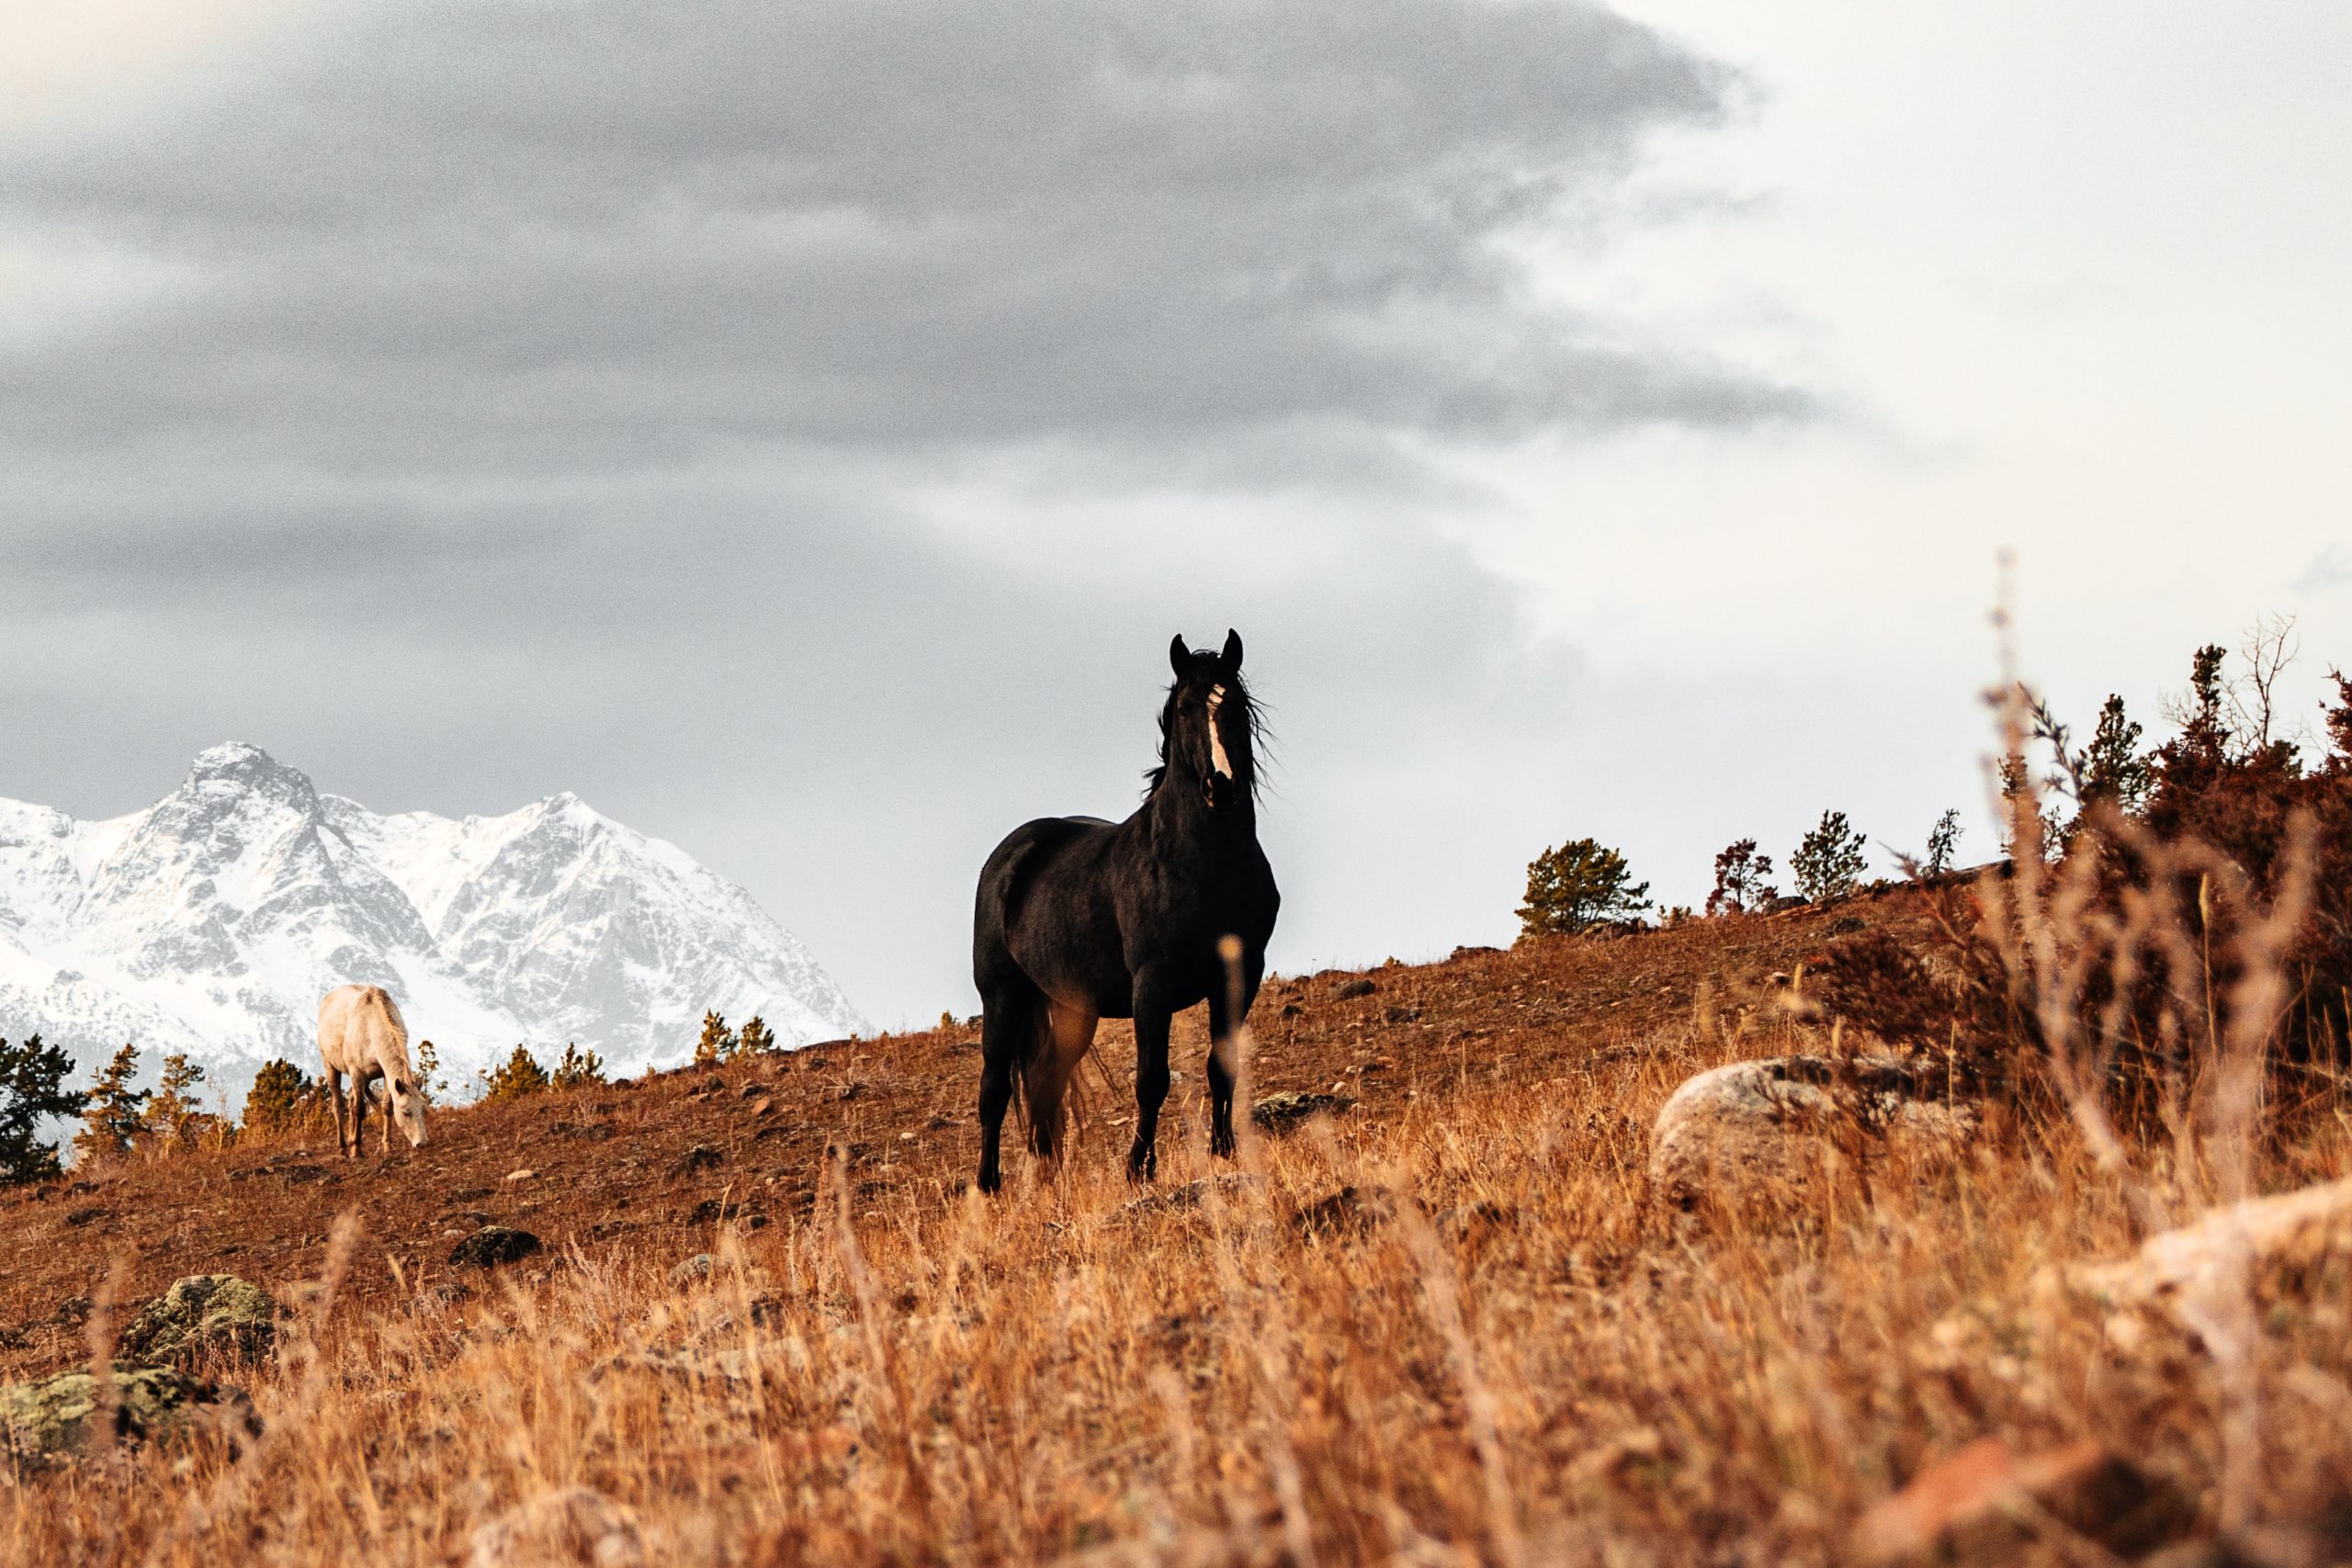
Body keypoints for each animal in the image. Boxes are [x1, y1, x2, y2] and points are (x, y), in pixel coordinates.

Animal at [317, 984, 428, 1157]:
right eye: (406, 1112)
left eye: (424, 1110)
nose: (422, 1144)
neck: (370, 1028)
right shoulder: (356, 1072)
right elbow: (359, 1109)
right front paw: (357, 1150)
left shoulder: (385, 1075)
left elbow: (386, 1107)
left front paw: (387, 1146)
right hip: (330, 1066)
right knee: (338, 1105)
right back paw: (343, 1147)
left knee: (350, 1100)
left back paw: (350, 1139)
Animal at [972, 629, 1279, 1192]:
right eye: (1184, 708)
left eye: (1237, 706)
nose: (1220, 785)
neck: (1203, 866)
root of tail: (1010, 856)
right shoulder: (1151, 983)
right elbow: (1152, 1078)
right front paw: (1139, 1167)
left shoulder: (1242, 971)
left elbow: (1221, 1064)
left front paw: (1225, 1152)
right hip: (1003, 995)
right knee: (994, 1090)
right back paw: (987, 1186)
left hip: (1073, 1008)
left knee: (1045, 1083)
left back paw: (1046, 1177)